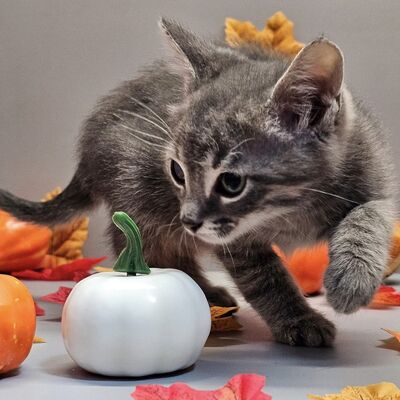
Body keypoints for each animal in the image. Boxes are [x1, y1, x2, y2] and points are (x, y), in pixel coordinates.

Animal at [0, 20, 396, 346]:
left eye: (231, 182)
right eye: (177, 172)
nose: (189, 219)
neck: (290, 211)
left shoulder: (372, 173)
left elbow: (372, 216)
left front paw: (353, 278)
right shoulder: (234, 240)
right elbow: (265, 278)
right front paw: (298, 319)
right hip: (142, 199)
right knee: (146, 248)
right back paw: (205, 291)